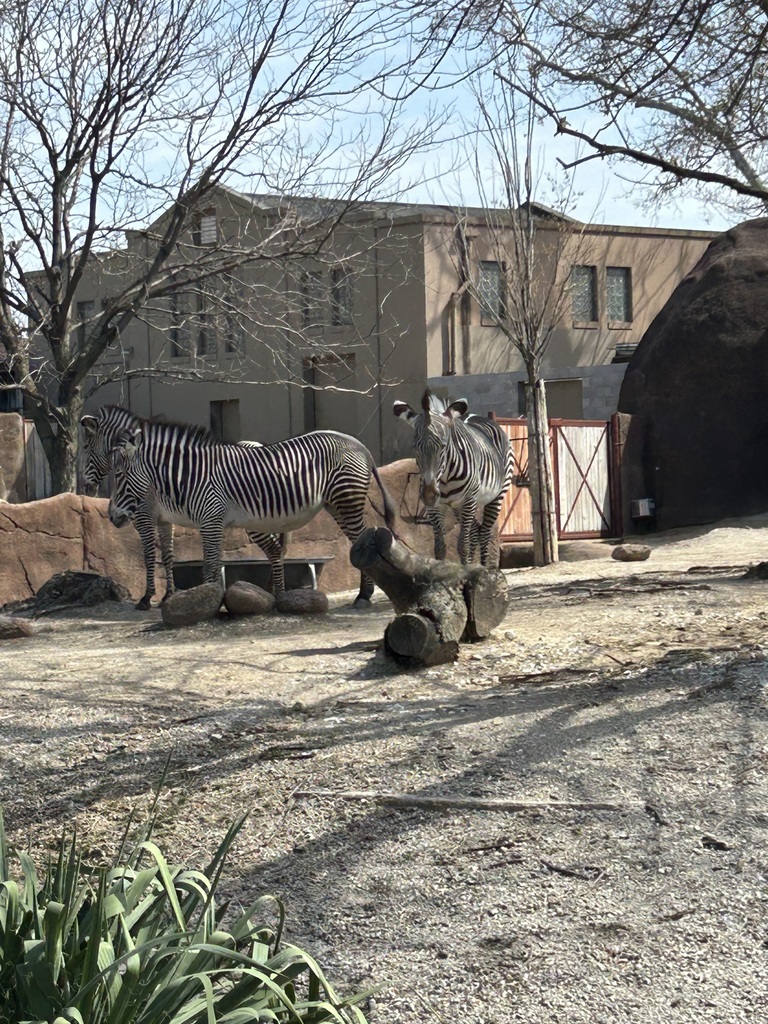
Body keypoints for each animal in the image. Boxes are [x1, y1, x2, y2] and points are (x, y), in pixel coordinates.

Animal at [80, 407, 283, 610]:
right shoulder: (164, 520)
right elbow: (168, 556)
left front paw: (147, 597)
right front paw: (168, 595)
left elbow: (149, 556)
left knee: (273, 548)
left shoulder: (144, 517)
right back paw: (271, 591)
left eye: (86, 447)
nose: (86, 488)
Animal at [104, 416, 396, 606]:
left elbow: (209, 565)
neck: (192, 477)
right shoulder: (208, 522)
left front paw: (211, 601)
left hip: (346, 499)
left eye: (118, 475)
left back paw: (363, 596)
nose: (111, 516)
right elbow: (210, 563)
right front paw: (212, 599)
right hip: (336, 504)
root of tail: (357, 443)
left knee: (361, 537)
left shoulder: (210, 520)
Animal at [393, 389, 513, 566]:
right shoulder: (435, 507)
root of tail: (479, 417)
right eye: (415, 447)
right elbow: (439, 548)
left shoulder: (469, 500)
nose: (429, 495)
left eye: (443, 446)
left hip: (495, 496)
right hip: (459, 506)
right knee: (475, 531)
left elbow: (462, 545)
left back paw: (485, 567)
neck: (444, 479)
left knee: (484, 532)